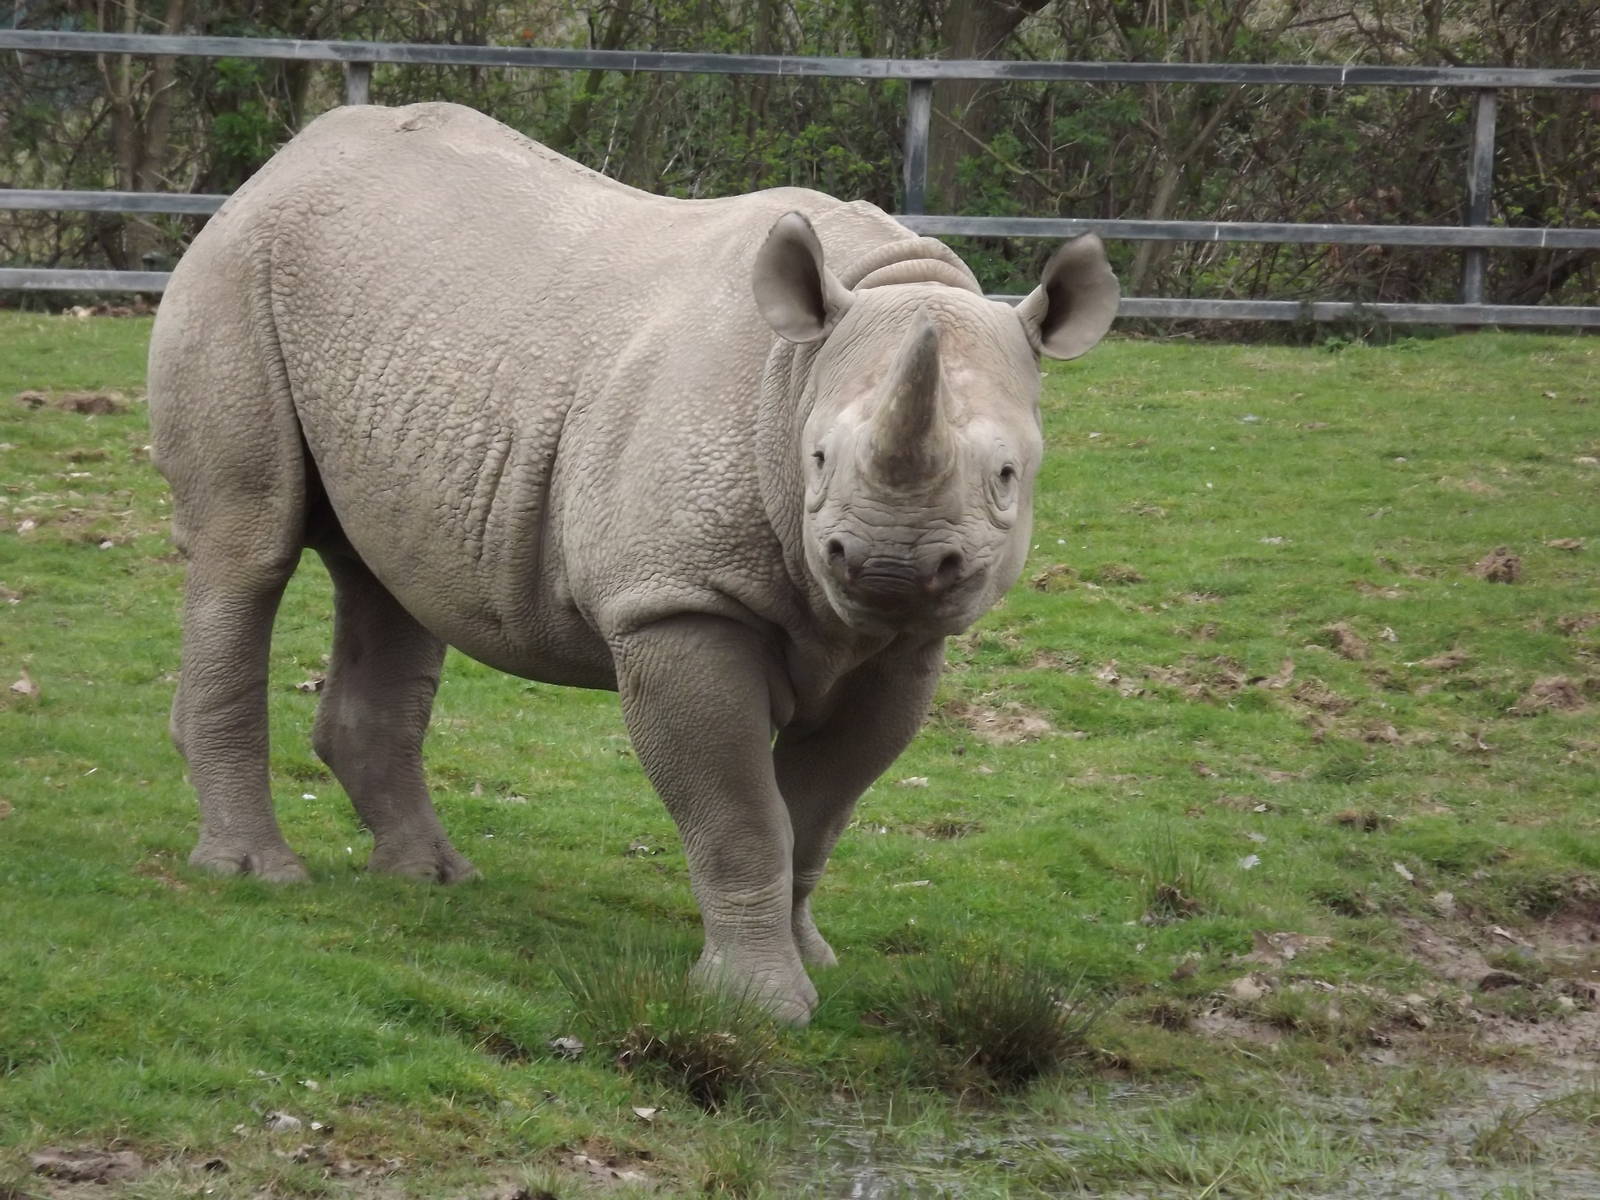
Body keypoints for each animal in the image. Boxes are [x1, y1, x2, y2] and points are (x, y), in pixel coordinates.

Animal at [147, 102, 1117, 1023]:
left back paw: (431, 880)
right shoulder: (678, 602)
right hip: (238, 270)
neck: (804, 368)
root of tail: (281, 164)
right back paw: (257, 873)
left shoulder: (906, 646)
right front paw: (760, 1004)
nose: (885, 566)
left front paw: (813, 959)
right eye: (815, 461)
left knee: (391, 579)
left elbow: (818, 814)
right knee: (249, 547)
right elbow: (743, 815)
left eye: (1006, 476)